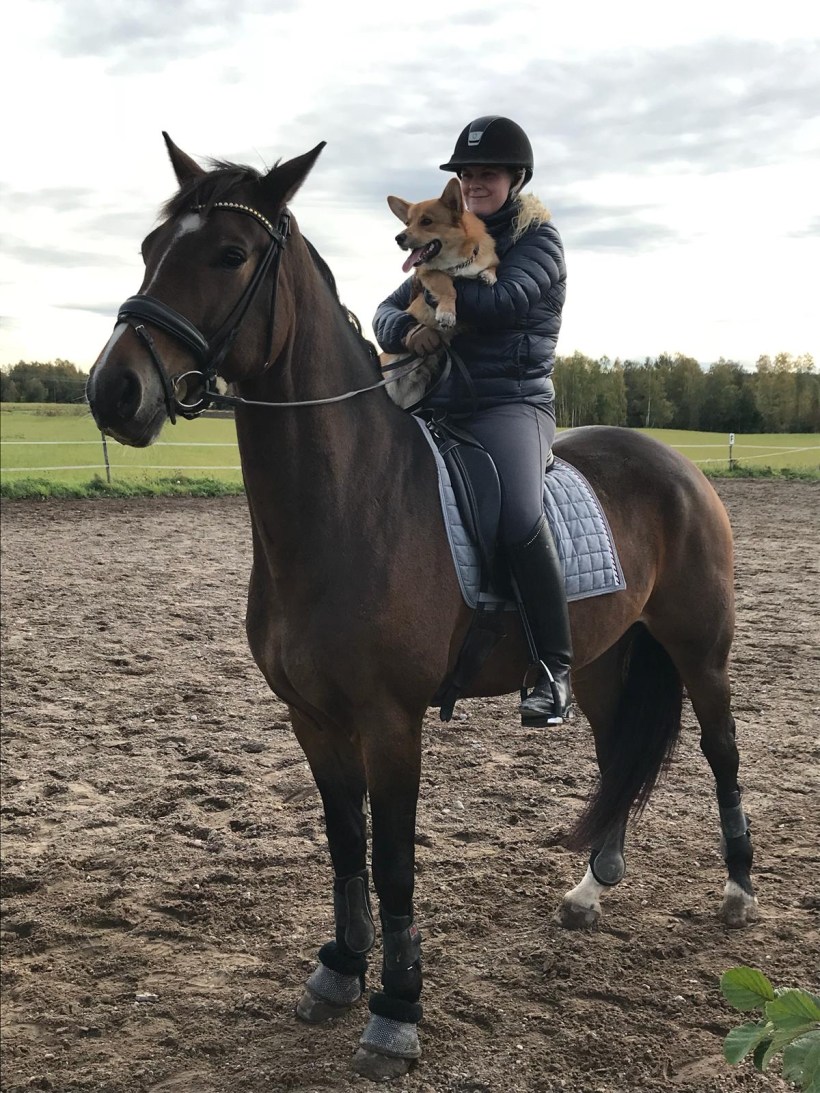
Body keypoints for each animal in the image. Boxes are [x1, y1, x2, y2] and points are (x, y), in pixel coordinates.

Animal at [380, 177, 499, 408]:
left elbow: (491, 267)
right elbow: (447, 286)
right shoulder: (429, 274)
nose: (398, 238)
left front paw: (488, 276)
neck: (460, 261)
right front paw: (447, 312)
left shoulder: (489, 260)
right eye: (407, 223)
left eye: (426, 221)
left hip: (413, 397)